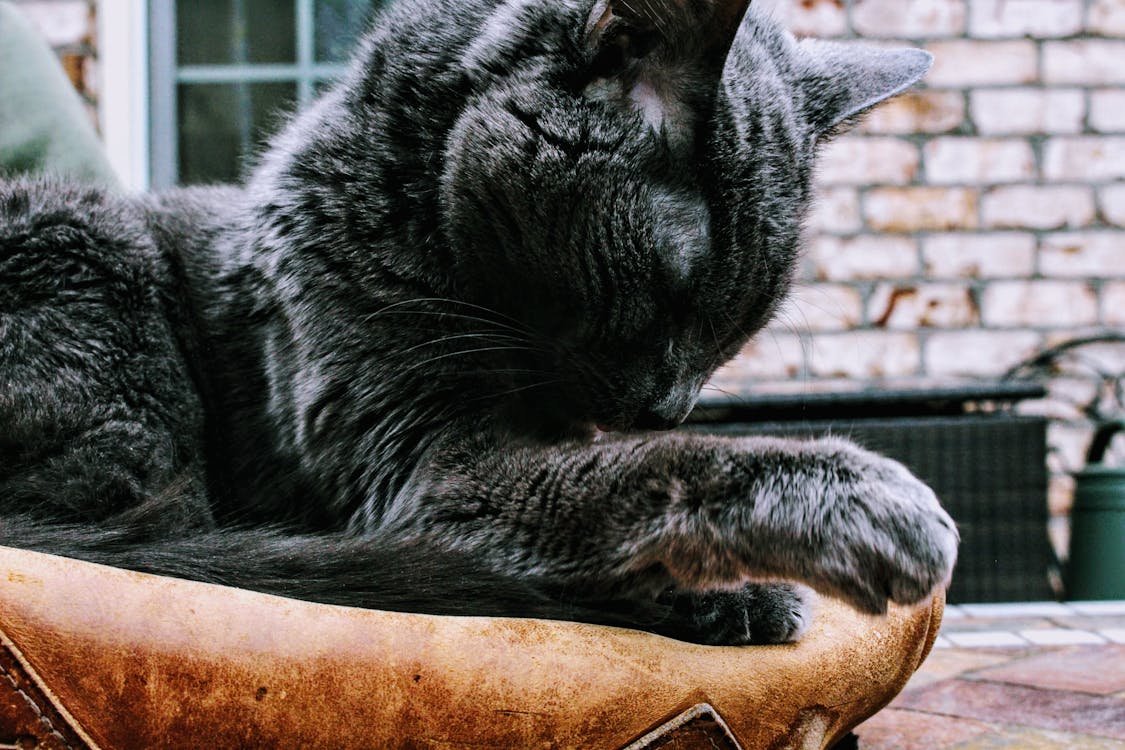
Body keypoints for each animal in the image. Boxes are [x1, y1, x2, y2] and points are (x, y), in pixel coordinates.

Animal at [0, 0, 954, 647]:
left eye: (740, 329)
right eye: (674, 291)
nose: (670, 406)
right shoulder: (420, 471)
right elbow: (625, 477)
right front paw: (854, 502)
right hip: (97, 265)